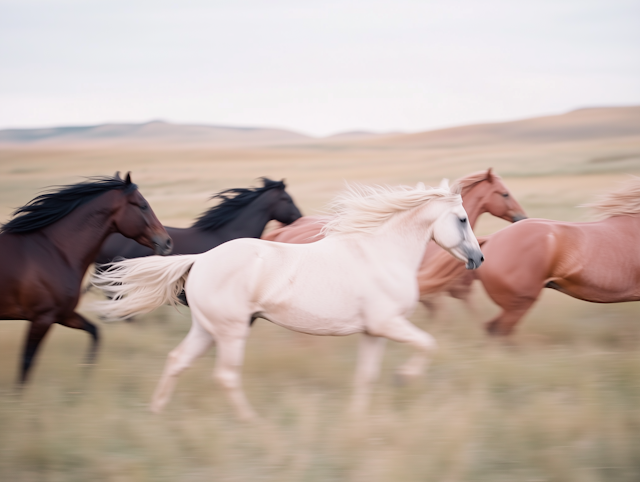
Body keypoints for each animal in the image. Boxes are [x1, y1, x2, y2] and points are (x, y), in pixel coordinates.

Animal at [0, 173, 172, 384]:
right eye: (143, 205)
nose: (167, 242)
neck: (55, 251)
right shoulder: (42, 318)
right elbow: (26, 363)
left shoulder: (62, 314)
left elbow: (95, 332)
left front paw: (84, 377)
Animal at [92, 181, 482, 418]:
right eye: (462, 219)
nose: (478, 259)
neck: (379, 254)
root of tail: (200, 260)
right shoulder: (389, 324)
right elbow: (428, 344)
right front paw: (405, 378)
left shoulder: (374, 331)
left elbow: (366, 376)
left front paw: (357, 417)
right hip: (231, 331)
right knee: (226, 376)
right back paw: (252, 421)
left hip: (206, 329)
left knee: (177, 360)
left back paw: (156, 411)